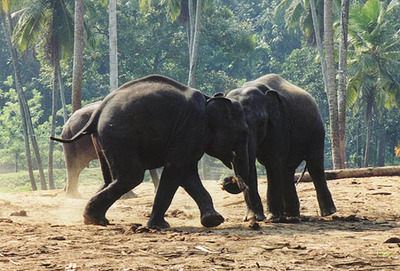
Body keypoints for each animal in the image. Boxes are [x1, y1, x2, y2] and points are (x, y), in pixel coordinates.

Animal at [50, 75, 250, 230]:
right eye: (242, 132)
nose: (228, 181)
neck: (210, 101)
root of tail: (97, 113)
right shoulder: (190, 129)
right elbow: (176, 168)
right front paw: (159, 226)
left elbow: (187, 173)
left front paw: (213, 220)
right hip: (119, 136)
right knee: (131, 176)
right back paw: (93, 218)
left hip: (102, 140)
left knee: (110, 178)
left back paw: (94, 219)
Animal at [227, 73, 336, 222]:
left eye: (260, 122)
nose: (227, 181)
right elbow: (249, 166)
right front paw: (252, 218)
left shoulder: (279, 124)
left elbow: (272, 163)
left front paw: (271, 217)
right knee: (287, 170)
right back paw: (291, 215)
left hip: (317, 130)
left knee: (314, 165)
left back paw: (327, 212)